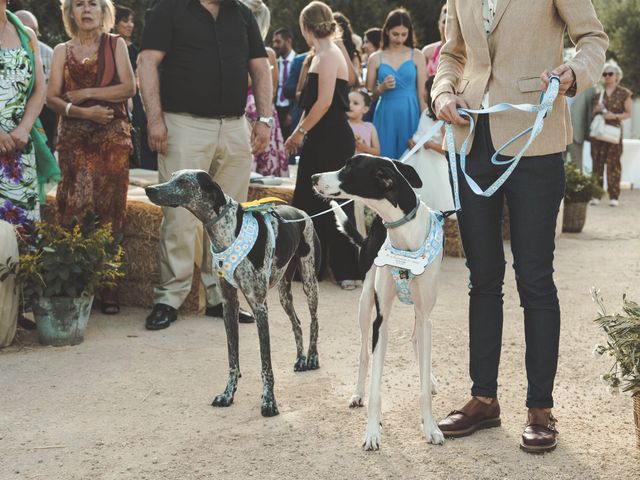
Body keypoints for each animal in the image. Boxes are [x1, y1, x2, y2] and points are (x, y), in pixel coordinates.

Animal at [148, 170, 322, 416]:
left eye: (183, 181)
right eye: (172, 176)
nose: (149, 190)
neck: (227, 231)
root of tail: (301, 213)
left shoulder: (260, 307)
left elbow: (266, 364)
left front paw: (269, 401)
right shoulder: (229, 306)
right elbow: (233, 359)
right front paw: (228, 394)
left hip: (309, 282)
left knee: (314, 321)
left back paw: (313, 357)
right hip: (284, 292)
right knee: (296, 323)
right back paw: (300, 359)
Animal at [312, 155, 444, 450]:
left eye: (349, 168)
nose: (313, 177)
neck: (404, 235)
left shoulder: (426, 314)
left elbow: (423, 381)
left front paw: (430, 427)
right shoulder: (380, 320)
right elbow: (375, 385)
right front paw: (372, 432)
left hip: (422, 316)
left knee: (417, 340)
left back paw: (428, 378)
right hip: (364, 305)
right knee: (363, 354)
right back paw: (357, 393)